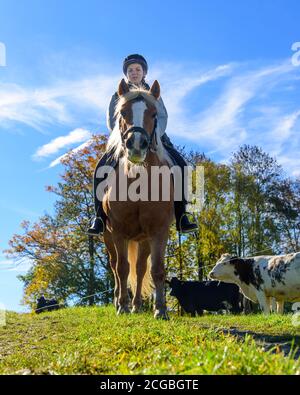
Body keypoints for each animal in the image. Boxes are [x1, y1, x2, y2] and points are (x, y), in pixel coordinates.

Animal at [102, 79, 175, 320]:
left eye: (153, 114)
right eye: (123, 112)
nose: (136, 145)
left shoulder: (159, 230)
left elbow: (157, 269)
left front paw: (160, 309)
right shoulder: (118, 231)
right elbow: (122, 268)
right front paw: (122, 307)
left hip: (143, 239)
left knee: (142, 267)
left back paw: (137, 305)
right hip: (107, 235)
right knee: (115, 266)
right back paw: (119, 301)